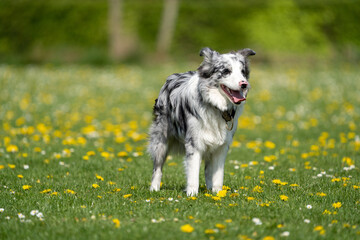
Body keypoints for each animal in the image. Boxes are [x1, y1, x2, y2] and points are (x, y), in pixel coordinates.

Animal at [149, 47, 256, 195]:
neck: (216, 106)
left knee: (207, 171)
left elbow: (217, 175)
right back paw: (154, 189)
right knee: (157, 168)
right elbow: (193, 174)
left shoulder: (221, 147)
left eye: (242, 72)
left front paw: (218, 194)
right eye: (226, 71)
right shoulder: (194, 144)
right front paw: (192, 195)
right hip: (160, 142)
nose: (244, 84)